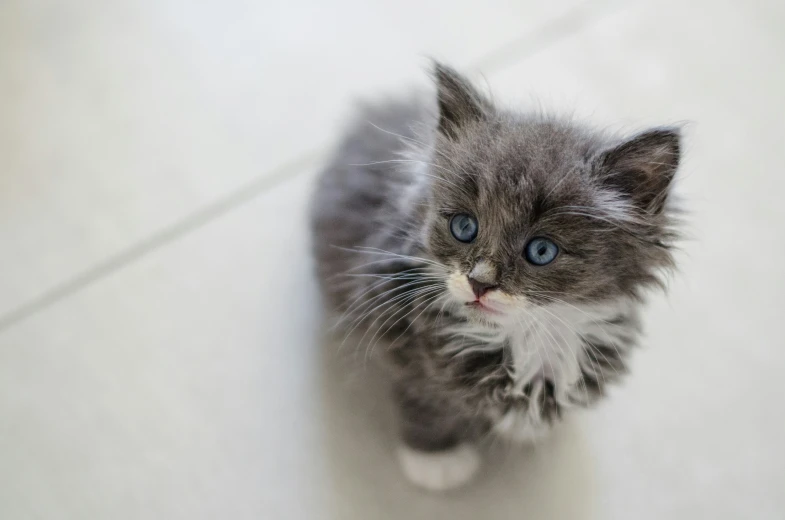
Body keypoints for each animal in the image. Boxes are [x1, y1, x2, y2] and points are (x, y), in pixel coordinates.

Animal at [310, 63, 676, 490]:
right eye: (464, 227)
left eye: (541, 251)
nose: (480, 283)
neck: (526, 338)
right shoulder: (396, 322)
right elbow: (426, 396)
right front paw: (436, 459)